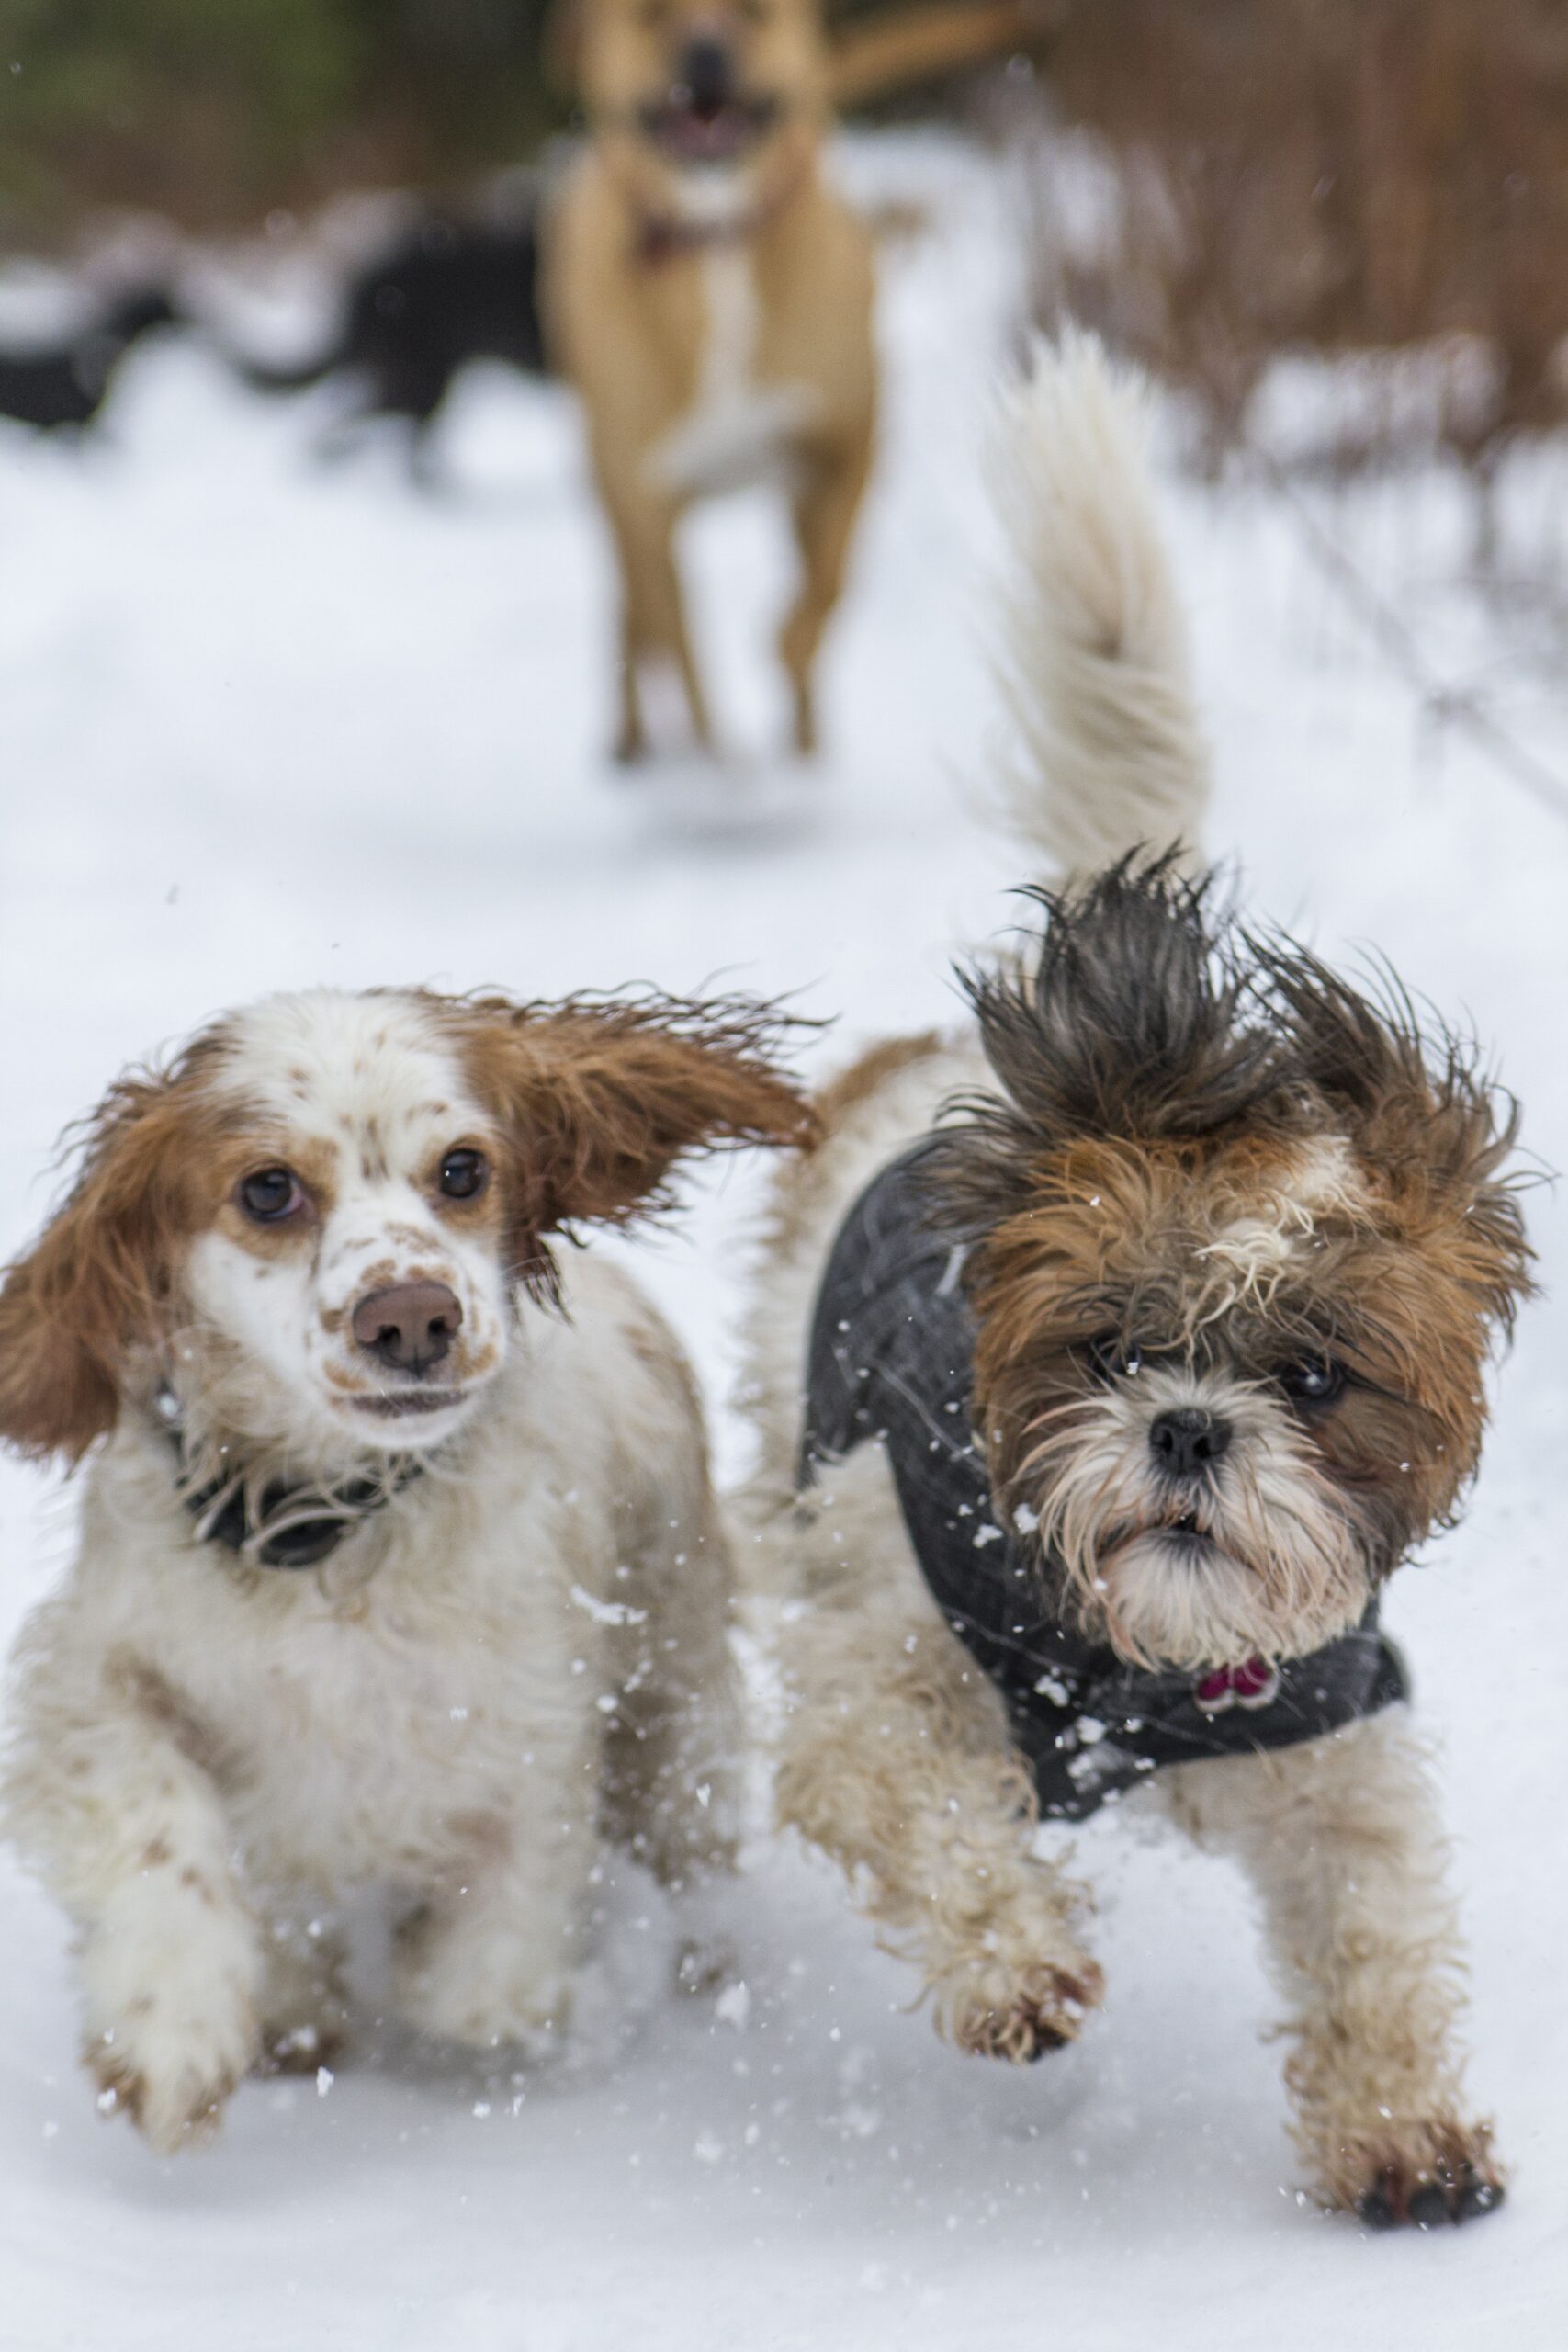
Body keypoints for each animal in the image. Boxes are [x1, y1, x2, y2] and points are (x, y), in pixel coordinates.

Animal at [0, 983, 808, 2154]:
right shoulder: (94, 1675)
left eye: (463, 1169)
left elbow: (479, 1983)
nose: (412, 1314)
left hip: (678, 1700)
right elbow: (164, 1838)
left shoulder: (531, 1743)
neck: (329, 1533)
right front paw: (174, 2032)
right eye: (269, 1187)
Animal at [545, 0, 879, 762]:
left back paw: (804, 736)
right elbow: (681, 650)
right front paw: (716, 760)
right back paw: (632, 738)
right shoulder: (644, 500)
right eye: (651, 17)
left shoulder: (846, 444)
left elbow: (829, 583)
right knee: (632, 617)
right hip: (610, 493)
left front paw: (787, 655)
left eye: (752, 14)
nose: (703, 54)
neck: (715, 236)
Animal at [742, 336, 1541, 2220]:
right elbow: (922, 1809)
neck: (1125, 1654)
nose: (1188, 1430)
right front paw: (1014, 1960)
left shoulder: (1325, 1733)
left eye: (1312, 1379)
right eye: (1104, 1349)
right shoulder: (871, 1676)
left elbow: (1369, 1922)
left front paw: (1398, 2126)